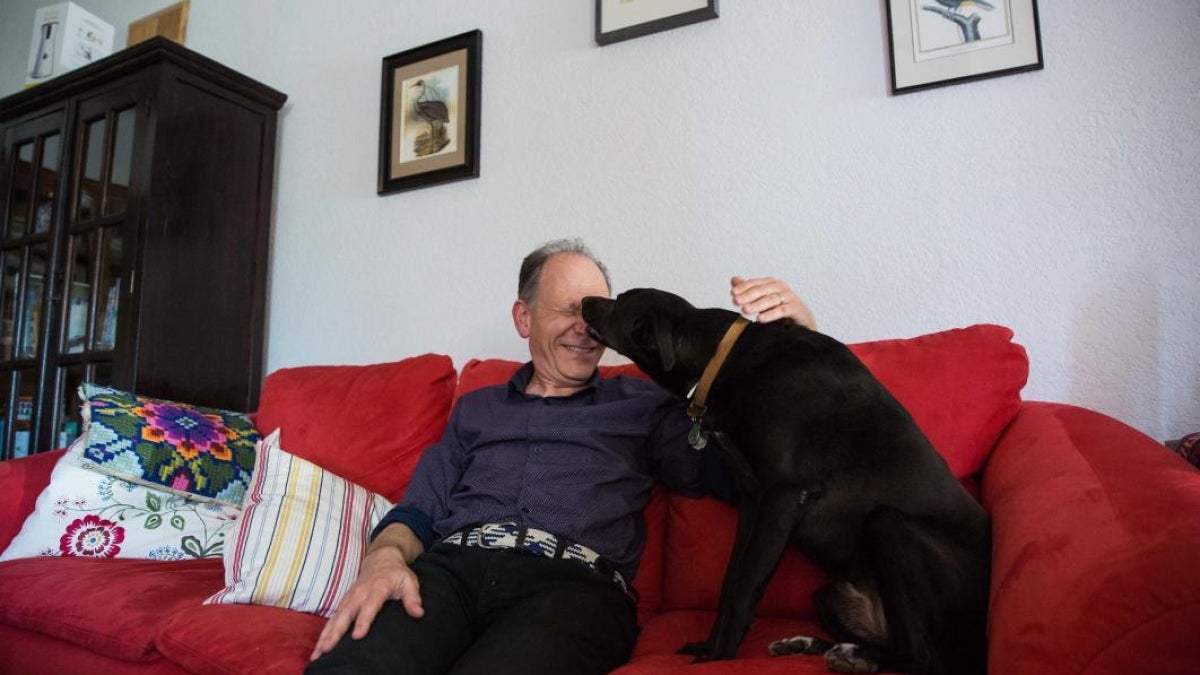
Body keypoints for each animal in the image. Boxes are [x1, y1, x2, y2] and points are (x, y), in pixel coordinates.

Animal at [578, 288, 984, 672]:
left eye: (621, 301)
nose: (583, 300)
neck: (723, 359)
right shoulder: (752, 498)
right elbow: (731, 582)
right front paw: (710, 647)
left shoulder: (784, 495)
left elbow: (743, 589)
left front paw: (719, 658)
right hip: (827, 596)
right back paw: (812, 645)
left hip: (890, 525)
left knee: (922, 658)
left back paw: (854, 656)